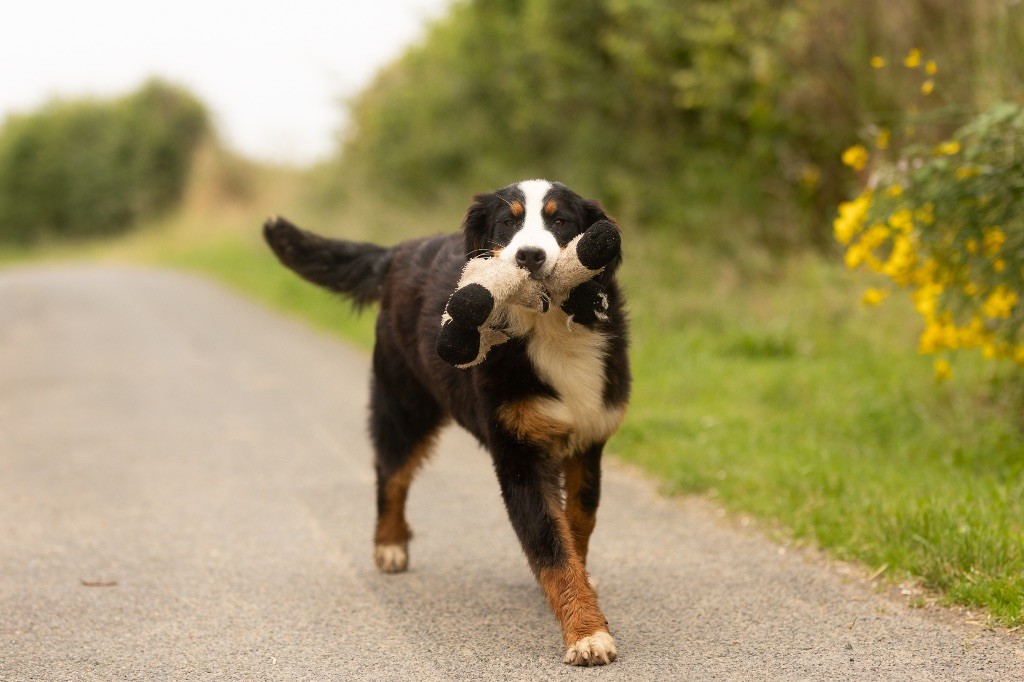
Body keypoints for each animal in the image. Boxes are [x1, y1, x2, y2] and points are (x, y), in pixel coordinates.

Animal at [262, 178, 630, 659]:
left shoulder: (589, 438)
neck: (549, 328)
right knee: (391, 473)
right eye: (507, 223)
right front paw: (586, 631)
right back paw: (390, 543)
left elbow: (578, 522)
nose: (529, 256)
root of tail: (401, 250)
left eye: (561, 221)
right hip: (402, 405)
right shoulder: (519, 455)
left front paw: (582, 591)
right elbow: (550, 546)